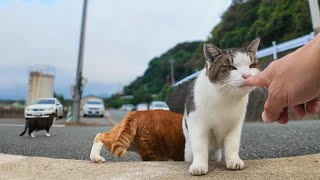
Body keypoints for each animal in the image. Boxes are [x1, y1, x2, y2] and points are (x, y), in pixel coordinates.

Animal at [182, 37, 260, 174]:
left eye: (251, 66)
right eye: (230, 67)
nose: (247, 75)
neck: (225, 97)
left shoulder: (235, 126)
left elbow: (233, 145)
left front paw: (233, 161)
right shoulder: (196, 123)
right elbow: (199, 145)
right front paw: (199, 165)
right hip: (188, 150)